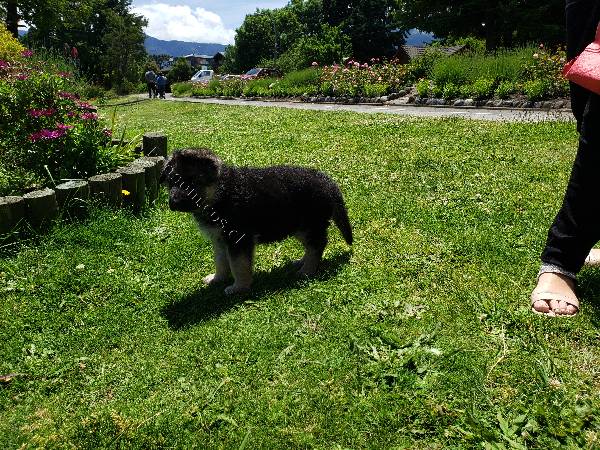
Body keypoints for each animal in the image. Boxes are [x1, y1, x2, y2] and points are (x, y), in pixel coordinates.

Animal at [162, 148, 354, 296]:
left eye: (191, 182)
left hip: (309, 224)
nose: (173, 203)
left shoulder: (238, 240)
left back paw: (307, 271)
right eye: (171, 183)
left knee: (317, 245)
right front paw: (217, 279)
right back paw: (302, 262)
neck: (222, 193)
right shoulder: (219, 240)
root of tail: (328, 182)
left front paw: (239, 287)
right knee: (313, 245)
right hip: (299, 227)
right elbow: (221, 262)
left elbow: (238, 265)